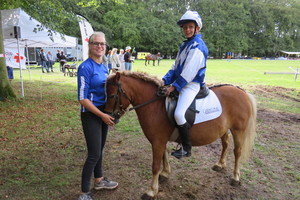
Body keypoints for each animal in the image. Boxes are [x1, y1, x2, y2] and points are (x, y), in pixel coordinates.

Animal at [104, 70, 256, 198]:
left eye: (112, 95)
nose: (109, 117)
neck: (156, 106)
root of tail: (241, 91)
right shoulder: (160, 140)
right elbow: (164, 156)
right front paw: (165, 173)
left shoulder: (157, 141)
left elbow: (155, 166)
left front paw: (151, 191)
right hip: (224, 129)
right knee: (225, 143)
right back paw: (220, 164)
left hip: (238, 130)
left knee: (237, 151)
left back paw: (235, 177)